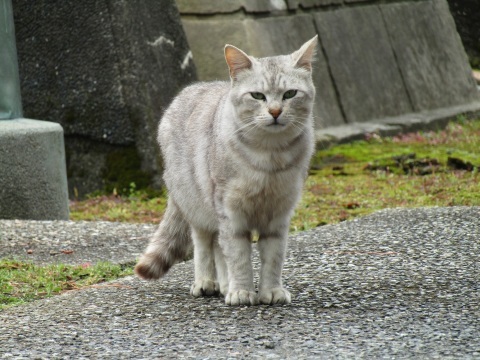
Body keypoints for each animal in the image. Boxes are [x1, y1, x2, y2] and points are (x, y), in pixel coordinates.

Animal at [134, 36, 318, 306]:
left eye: (290, 94)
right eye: (257, 96)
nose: (275, 111)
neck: (270, 156)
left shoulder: (278, 215)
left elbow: (273, 257)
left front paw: (270, 290)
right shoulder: (230, 213)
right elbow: (238, 257)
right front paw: (241, 291)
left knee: (218, 250)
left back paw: (223, 285)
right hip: (197, 205)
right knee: (204, 245)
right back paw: (207, 282)